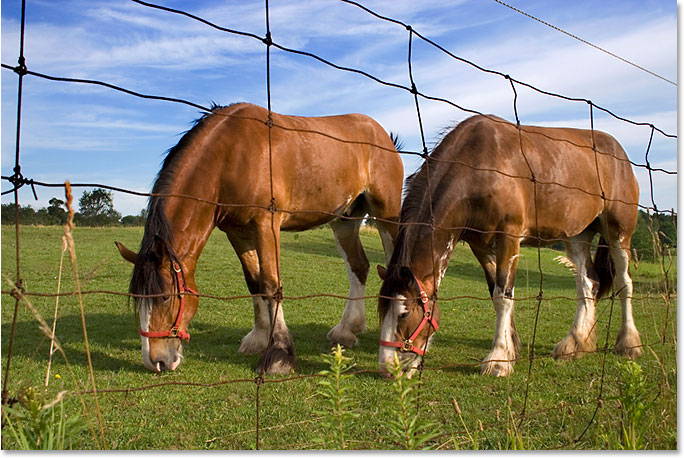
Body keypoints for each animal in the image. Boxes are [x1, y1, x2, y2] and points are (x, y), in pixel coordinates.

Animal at [115, 104, 404, 376]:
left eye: (164, 297)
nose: (156, 361)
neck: (230, 156)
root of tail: (383, 135)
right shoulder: (238, 233)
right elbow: (254, 282)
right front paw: (260, 337)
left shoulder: (266, 225)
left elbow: (271, 284)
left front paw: (279, 353)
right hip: (345, 220)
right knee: (359, 266)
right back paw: (347, 330)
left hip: (386, 213)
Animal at [380, 115, 640, 380]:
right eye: (380, 310)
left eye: (404, 313)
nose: (389, 369)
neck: (478, 167)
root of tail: (619, 152)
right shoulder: (480, 246)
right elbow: (496, 292)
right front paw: (510, 346)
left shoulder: (509, 238)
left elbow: (503, 295)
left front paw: (498, 359)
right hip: (577, 237)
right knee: (588, 284)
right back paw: (575, 344)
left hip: (619, 233)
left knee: (624, 283)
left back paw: (628, 344)